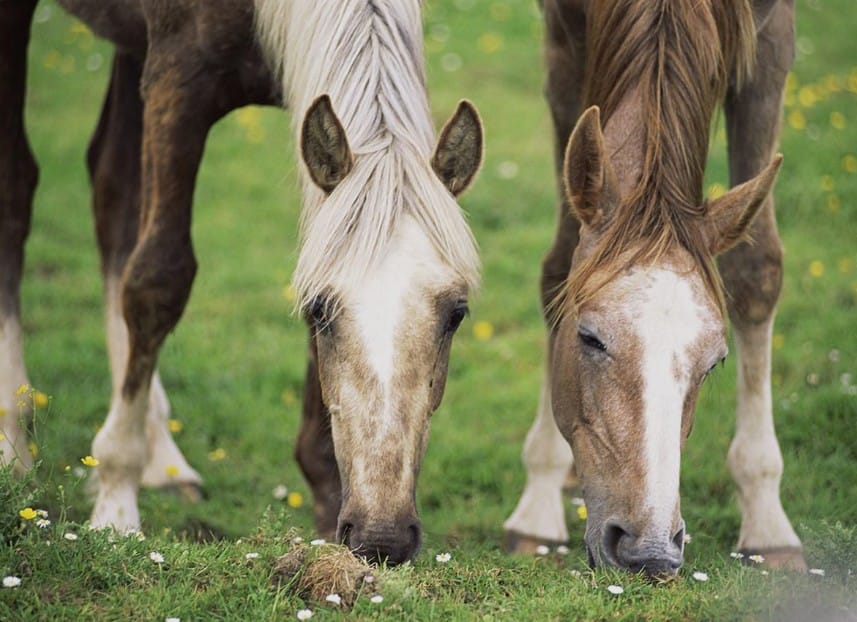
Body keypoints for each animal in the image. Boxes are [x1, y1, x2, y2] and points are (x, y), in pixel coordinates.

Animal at [0, 0, 483, 565]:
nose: (382, 538)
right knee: (17, 190)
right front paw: (115, 508)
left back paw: (162, 458)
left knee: (112, 190)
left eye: (456, 313)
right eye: (318, 310)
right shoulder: (177, 81)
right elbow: (157, 281)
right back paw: (14, 445)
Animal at [502, 0, 805, 578]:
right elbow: (559, 267)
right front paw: (538, 500)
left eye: (715, 363)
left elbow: (757, 271)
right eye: (589, 338)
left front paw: (767, 521)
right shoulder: (564, 41)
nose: (649, 551)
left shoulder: (772, 41)